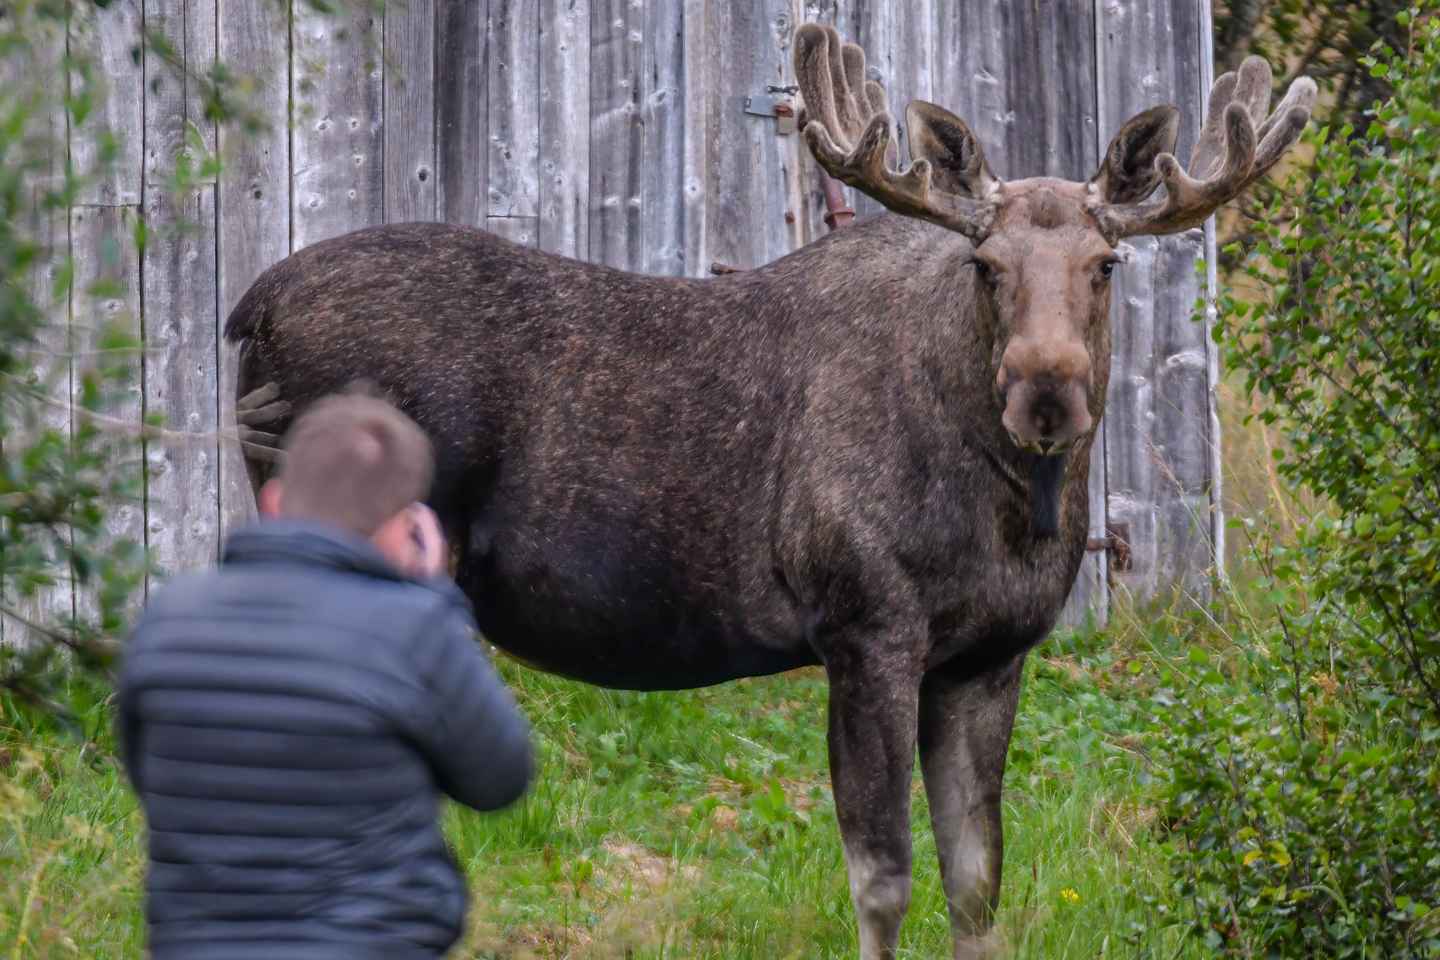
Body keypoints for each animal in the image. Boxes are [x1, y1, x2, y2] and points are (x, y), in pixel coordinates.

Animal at [223, 25, 1314, 959]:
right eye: (985, 262)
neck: (1012, 512)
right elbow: (882, 876)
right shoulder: (864, 624)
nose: (1046, 388)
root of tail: (246, 313)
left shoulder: (991, 657)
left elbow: (977, 881)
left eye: (1106, 261)